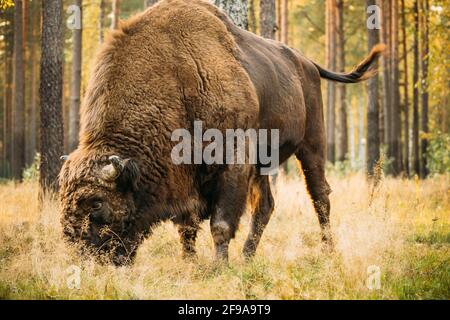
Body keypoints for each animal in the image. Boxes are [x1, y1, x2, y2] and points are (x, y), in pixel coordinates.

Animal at [59, 0, 384, 264]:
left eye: (97, 202)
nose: (81, 254)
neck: (177, 80)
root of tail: (307, 64)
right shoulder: (188, 178)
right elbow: (187, 226)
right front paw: (190, 263)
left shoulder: (233, 161)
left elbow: (221, 224)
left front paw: (218, 267)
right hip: (264, 163)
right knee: (266, 206)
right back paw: (248, 257)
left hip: (312, 144)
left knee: (320, 196)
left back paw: (328, 251)